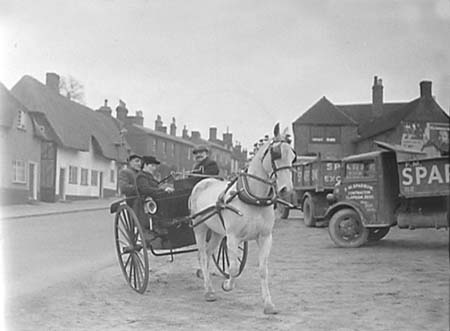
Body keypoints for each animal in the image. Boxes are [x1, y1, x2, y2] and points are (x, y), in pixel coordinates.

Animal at [189, 123, 298, 316]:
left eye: (293, 156)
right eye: (276, 153)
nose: (287, 189)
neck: (253, 197)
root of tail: (202, 181)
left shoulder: (265, 237)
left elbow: (263, 270)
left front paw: (268, 304)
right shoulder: (233, 237)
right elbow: (233, 267)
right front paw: (227, 285)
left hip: (217, 232)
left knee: (208, 254)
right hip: (199, 227)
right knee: (202, 254)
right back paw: (208, 290)